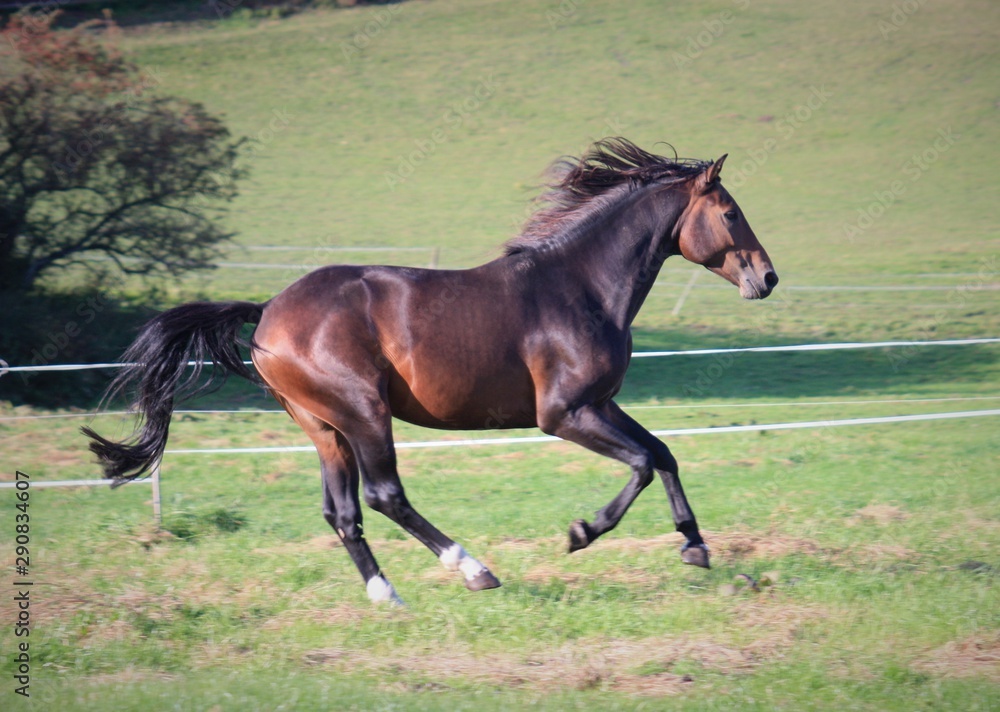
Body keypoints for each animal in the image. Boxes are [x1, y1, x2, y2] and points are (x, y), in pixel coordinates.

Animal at [84, 138, 778, 605]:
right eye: (731, 213)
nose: (767, 278)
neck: (580, 287)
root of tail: (267, 314)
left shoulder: (601, 404)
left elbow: (662, 453)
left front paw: (695, 547)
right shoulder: (563, 414)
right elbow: (639, 464)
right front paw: (582, 532)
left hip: (324, 427)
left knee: (342, 512)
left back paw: (387, 595)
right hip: (365, 413)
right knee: (383, 495)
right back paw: (476, 571)